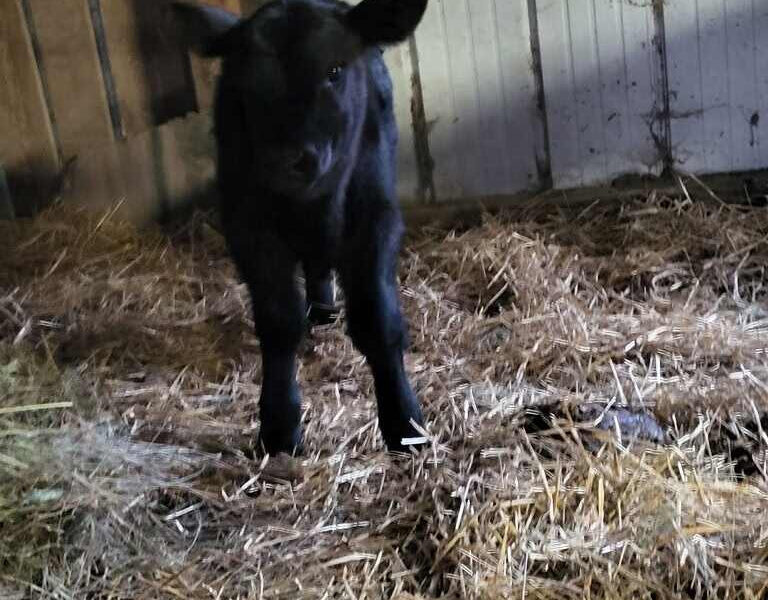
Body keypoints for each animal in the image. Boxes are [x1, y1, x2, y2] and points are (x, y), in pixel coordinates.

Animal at [172, 0, 427, 455]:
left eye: (334, 70)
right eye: (247, 83)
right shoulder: (248, 228)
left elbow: (378, 320)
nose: (286, 158)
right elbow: (279, 322)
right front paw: (279, 425)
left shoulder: (375, 219)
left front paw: (403, 421)